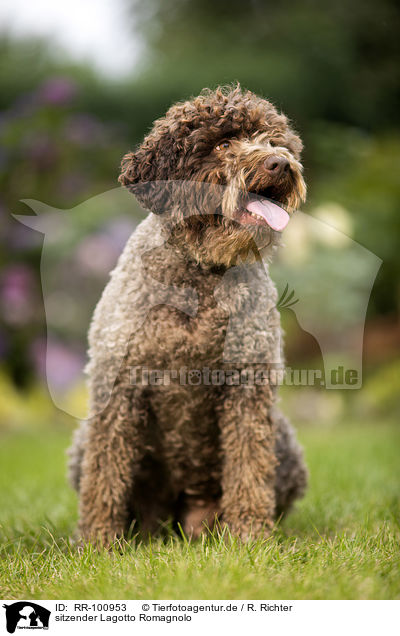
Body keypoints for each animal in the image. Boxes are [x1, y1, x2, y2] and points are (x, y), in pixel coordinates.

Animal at [68, 82, 306, 544]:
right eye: (223, 144)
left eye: (274, 141)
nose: (281, 164)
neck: (200, 272)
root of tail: (180, 518)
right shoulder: (117, 387)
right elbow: (105, 473)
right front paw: (98, 543)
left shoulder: (247, 386)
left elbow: (249, 465)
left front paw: (251, 536)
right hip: (82, 441)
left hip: (284, 439)